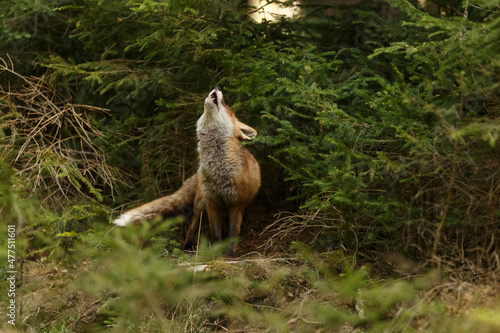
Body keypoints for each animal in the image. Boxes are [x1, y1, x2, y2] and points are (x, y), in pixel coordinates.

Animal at [112, 85, 262, 254]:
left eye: (227, 108)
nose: (218, 86)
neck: (217, 171)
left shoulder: (236, 203)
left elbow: (233, 234)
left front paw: (229, 255)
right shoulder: (212, 202)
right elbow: (215, 233)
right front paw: (216, 252)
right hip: (200, 203)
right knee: (193, 224)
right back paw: (186, 247)